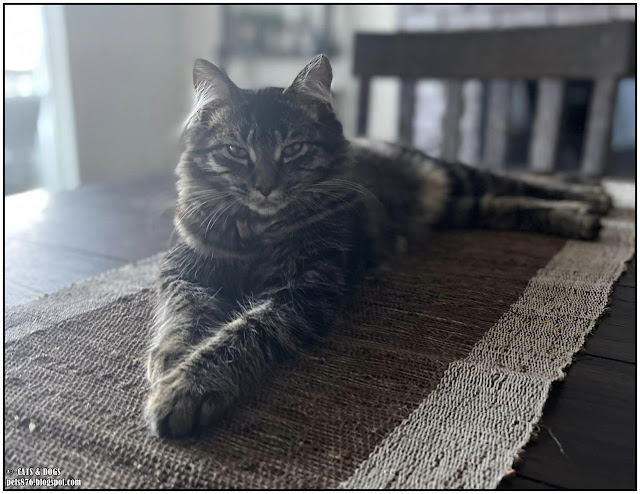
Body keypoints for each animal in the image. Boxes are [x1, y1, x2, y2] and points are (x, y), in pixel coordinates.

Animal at [144, 56, 608, 438]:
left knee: (523, 182)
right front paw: (170, 360)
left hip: (459, 178)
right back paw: (580, 214)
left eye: (294, 149)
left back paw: (592, 198)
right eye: (235, 151)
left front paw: (186, 388)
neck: (258, 230)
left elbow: (242, 334)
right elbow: (181, 315)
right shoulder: (184, 271)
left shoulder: (305, 292)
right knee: (506, 203)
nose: (264, 187)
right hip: (460, 206)